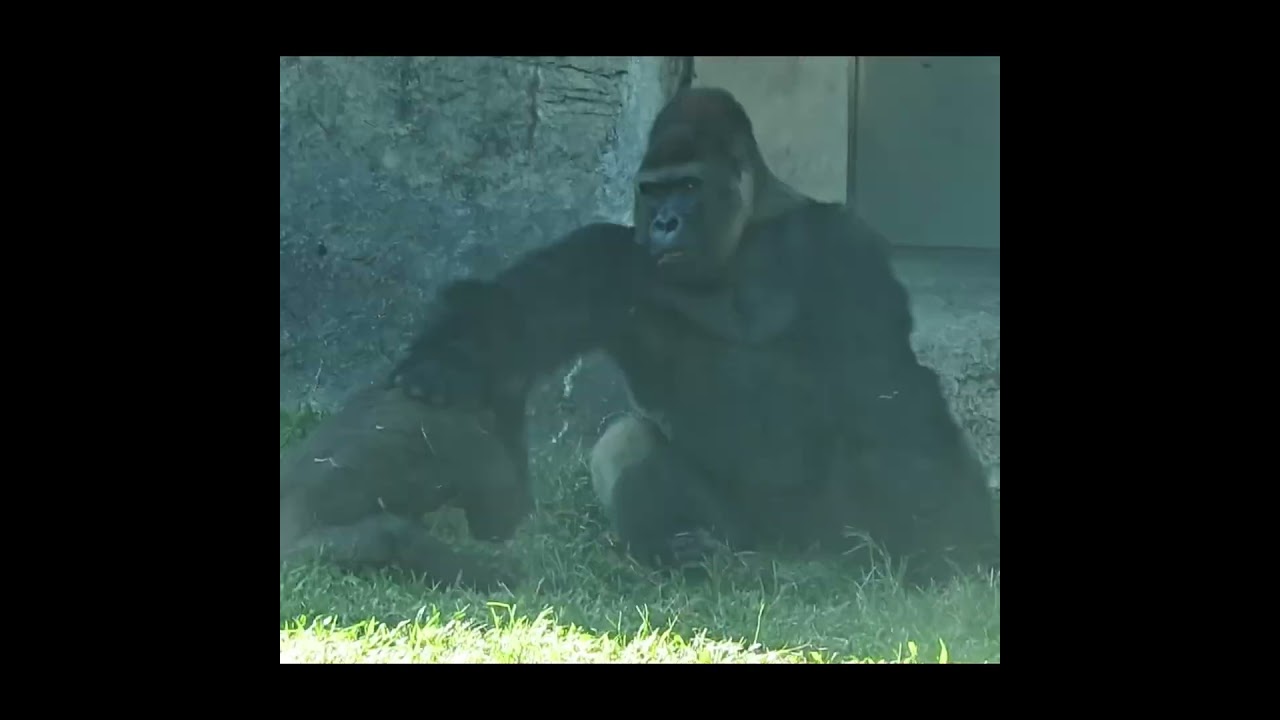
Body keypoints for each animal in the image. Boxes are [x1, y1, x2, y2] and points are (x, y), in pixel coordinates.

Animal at [390, 87, 999, 588]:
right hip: (745, 536)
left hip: (834, 530)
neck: (748, 227)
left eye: (687, 186)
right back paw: (682, 549)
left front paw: (950, 540)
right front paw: (444, 362)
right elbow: (515, 314)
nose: (664, 223)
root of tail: (791, 551)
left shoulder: (845, 245)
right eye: (653, 192)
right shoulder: (606, 250)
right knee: (625, 441)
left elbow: (886, 390)